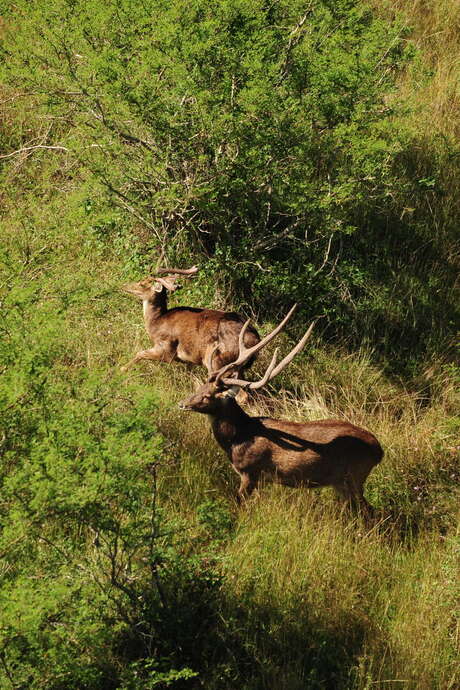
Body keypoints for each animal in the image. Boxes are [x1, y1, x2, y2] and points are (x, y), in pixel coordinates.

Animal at [121, 266, 260, 375]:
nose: (124, 285)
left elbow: (140, 353)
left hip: (216, 360)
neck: (156, 323)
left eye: (142, 283)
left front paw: (122, 369)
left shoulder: (166, 348)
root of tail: (255, 339)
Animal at [178, 305, 383, 516]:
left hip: (355, 476)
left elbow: (238, 503)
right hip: (341, 482)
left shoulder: (251, 472)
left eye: (207, 396)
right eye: (199, 388)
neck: (238, 438)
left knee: (370, 512)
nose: (182, 403)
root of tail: (379, 451)